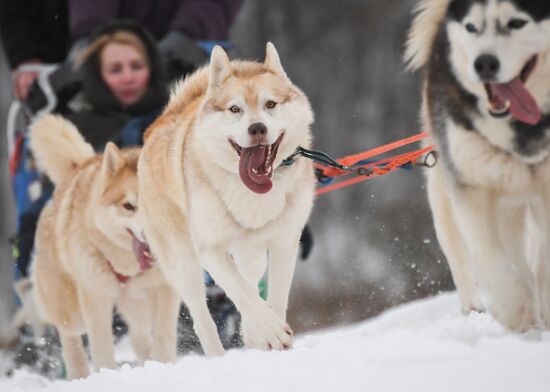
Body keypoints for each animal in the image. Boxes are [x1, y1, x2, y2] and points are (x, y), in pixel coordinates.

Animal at [29, 115, 180, 378]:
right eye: (128, 206)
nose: (151, 236)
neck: (127, 265)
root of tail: (81, 165)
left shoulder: (165, 289)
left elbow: (163, 336)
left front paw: (163, 365)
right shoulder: (95, 298)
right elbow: (102, 349)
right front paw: (106, 374)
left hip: (138, 305)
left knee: (139, 336)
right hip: (71, 310)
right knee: (69, 336)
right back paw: (78, 373)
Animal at [139, 43, 314, 356]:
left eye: (271, 104)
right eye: (235, 109)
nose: (257, 128)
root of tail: (158, 122)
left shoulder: (285, 243)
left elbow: (274, 297)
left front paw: (270, 333)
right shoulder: (210, 250)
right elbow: (241, 292)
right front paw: (271, 331)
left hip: (251, 255)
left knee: (250, 283)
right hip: (184, 266)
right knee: (204, 321)